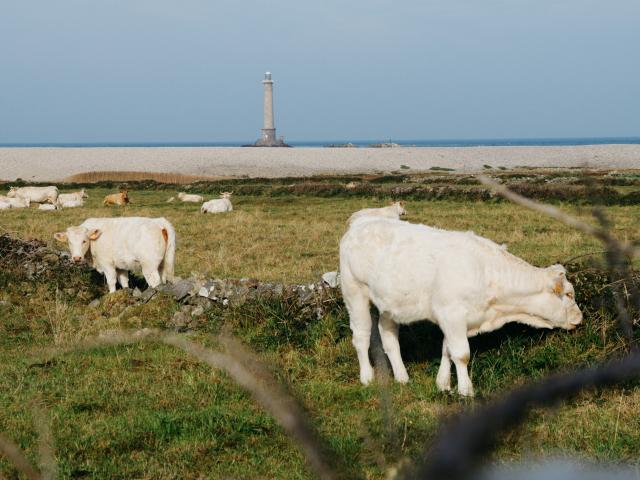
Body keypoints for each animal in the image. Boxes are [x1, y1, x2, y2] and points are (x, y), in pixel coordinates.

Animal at [340, 218, 584, 398]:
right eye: (569, 294)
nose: (579, 317)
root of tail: (360, 224)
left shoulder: (455, 320)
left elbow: (447, 350)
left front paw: (443, 384)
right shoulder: (452, 314)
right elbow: (462, 354)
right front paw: (466, 390)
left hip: (389, 304)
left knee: (388, 336)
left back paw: (402, 377)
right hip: (354, 293)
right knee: (361, 336)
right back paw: (367, 377)